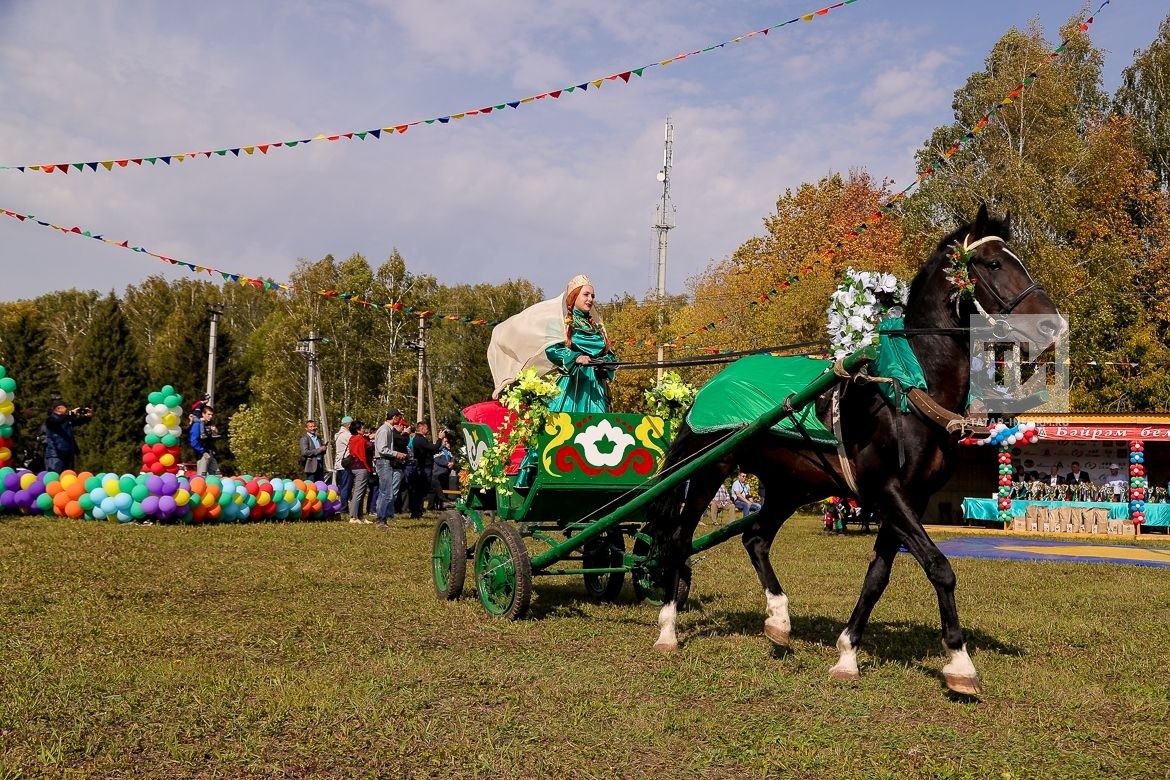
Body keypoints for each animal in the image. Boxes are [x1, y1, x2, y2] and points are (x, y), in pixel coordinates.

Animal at [645, 203, 1067, 696]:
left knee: (755, 538)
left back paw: (779, 619)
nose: (1052, 324)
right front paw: (960, 662)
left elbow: (878, 576)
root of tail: (711, 384)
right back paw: (669, 627)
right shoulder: (886, 491)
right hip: (709, 472)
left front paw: (848, 652)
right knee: (679, 540)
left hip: (790, 485)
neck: (909, 388)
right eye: (994, 263)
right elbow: (940, 567)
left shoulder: (911, 498)